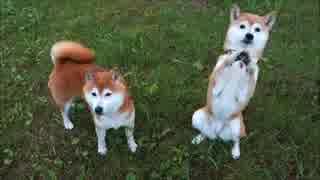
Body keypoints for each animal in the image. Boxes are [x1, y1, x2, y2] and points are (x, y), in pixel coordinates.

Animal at [191, 4, 276, 159]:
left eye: (257, 29)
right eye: (242, 26)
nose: (249, 35)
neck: (240, 63)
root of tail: (217, 131)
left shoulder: (244, 94)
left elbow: (251, 71)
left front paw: (250, 63)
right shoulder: (216, 86)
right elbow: (226, 63)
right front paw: (234, 56)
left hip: (237, 126)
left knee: (236, 140)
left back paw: (236, 152)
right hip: (197, 116)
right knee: (205, 132)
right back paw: (199, 138)